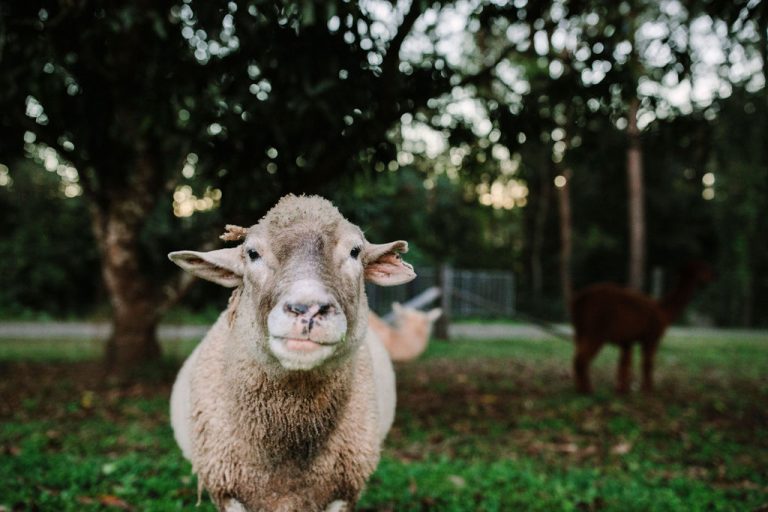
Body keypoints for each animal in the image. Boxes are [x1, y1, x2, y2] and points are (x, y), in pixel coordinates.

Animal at [570, 261, 713, 394]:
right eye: (703, 268)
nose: (713, 276)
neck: (663, 311)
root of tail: (579, 300)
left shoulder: (627, 340)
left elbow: (624, 365)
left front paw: (622, 390)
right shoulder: (651, 338)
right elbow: (647, 364)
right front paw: (648, 390)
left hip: (580, 330)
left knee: (576, 356)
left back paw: (579, 388)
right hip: (595, 330)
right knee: (581, 360)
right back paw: (587, 390)